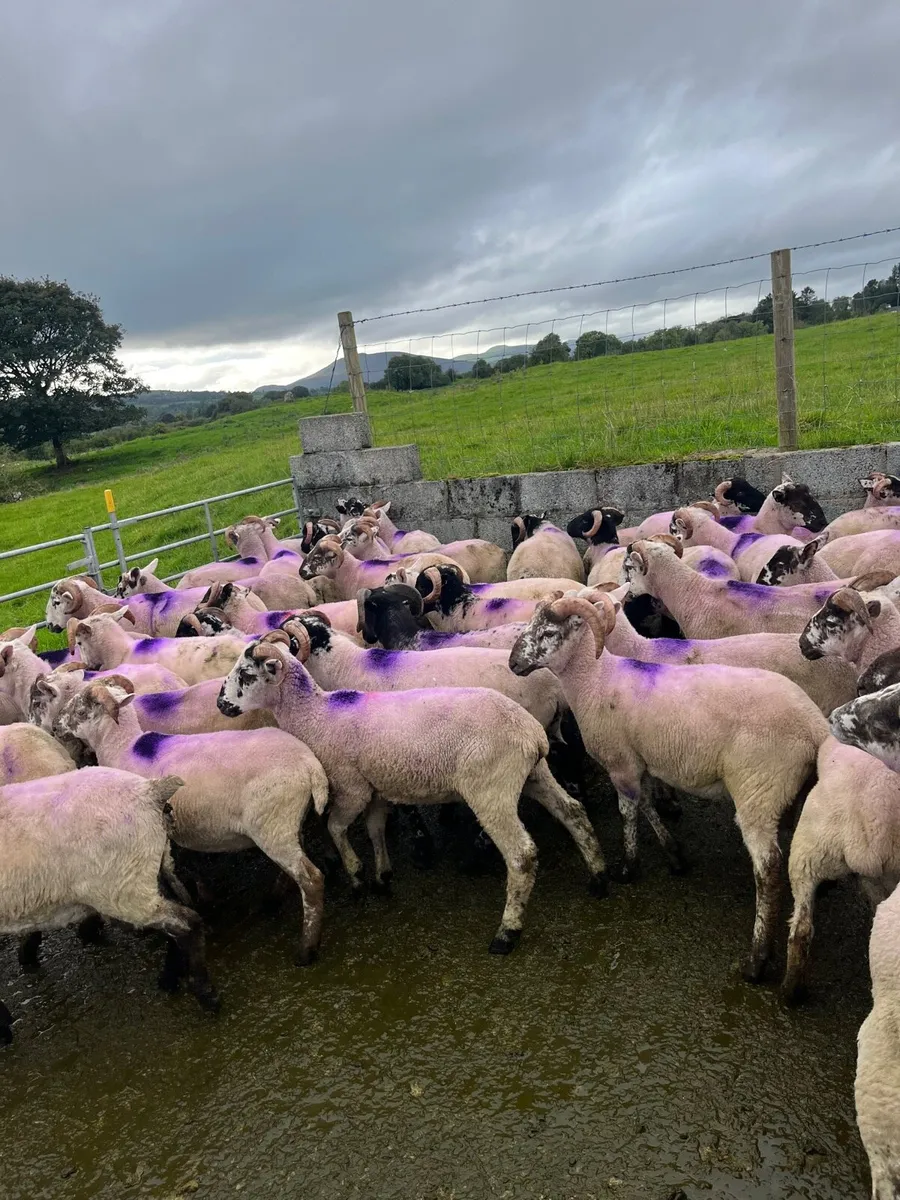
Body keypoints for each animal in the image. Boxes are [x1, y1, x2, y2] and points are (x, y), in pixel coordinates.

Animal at [0, 766, 218, 1040]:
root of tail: (149, 791)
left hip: (123, 887)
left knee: (187, 923)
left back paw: (205, 994)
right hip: (157, 867)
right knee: (180, 920)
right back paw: (170, 979)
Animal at [54, 682, 328, 965]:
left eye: (81, 710)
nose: (55, 726)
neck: (123, 748)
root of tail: (310, 765)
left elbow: (170, 875)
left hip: (272, 826)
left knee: (311, 879)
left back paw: (306, 950)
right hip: (288, 823)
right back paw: (273, 899)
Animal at [216, 633, 608, 952]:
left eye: (246, 674)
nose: (221, 704)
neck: (317, 715)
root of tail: (530, 732)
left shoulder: (351, 786)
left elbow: (336, 828)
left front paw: (356, 877)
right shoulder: (375, 789)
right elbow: (375, 829)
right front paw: (382, 876)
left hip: (490, 789)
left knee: (521, 855)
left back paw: (506, 933)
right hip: (533, 775)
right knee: (573, 812)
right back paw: (599, 876)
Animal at [508, 593, 828, 979]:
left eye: (549, 632)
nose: (512, 663)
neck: (595, 679)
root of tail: (814, 728)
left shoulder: (621, 761)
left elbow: (628, 812)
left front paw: (628, 868)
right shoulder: (640, 759)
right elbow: (648, 804)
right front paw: (674, 855)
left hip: (759, 793)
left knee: (768, 871)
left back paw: (757, 959)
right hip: (791, 793)